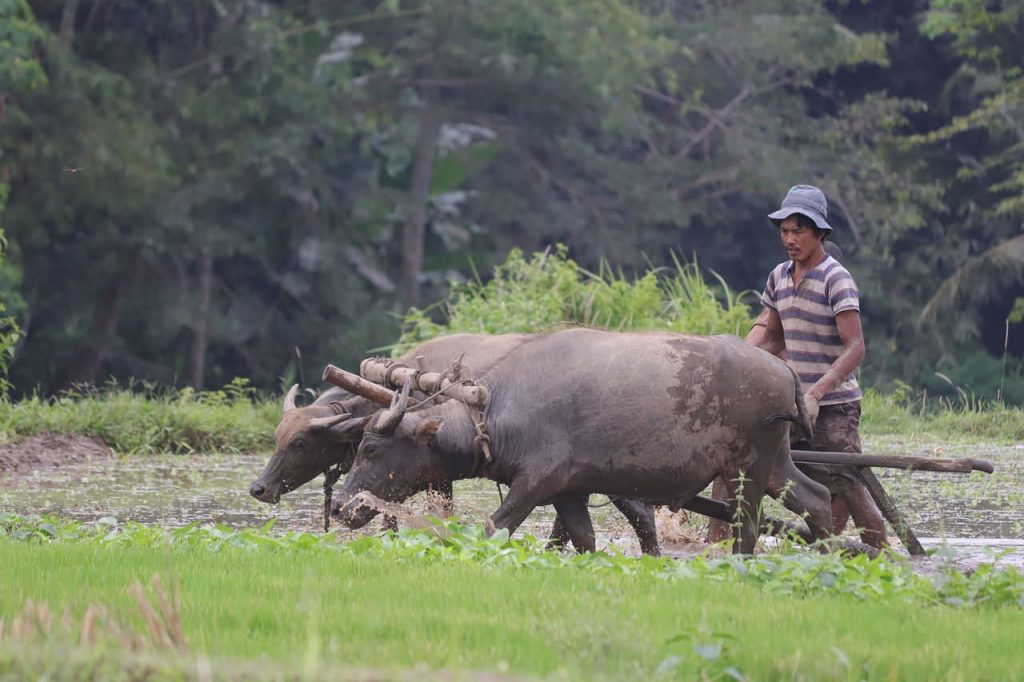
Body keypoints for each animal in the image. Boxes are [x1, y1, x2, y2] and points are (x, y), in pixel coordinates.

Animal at [331, 327, 835, 557]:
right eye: (357, 446)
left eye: (372, 449)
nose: (339, 506)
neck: (495, 410)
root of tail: (782, 368)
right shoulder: (570, 492)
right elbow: (584, 540)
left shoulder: (534, 484)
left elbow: (495, 527)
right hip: (777, 464)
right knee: (818, 498)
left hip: (749, 469)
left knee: (747, 525)